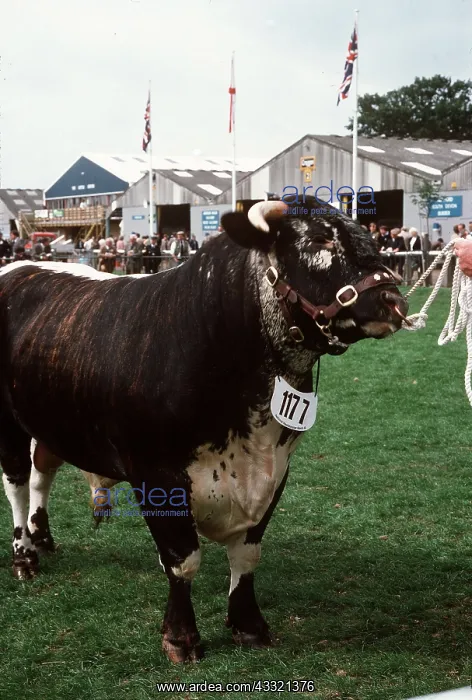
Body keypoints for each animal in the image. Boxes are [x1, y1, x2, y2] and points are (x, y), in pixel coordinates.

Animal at [0, 198, 407, 662]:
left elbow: (247, 555)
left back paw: (43, 537)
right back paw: (24, 556)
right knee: (16, 483)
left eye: (366, 233)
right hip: (8, 422)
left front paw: (249, 625)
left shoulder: (277, 470)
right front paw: (181, 637)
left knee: (41, 474)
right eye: (320, 239)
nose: (393, 299)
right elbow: (183, 560)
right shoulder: (155, 474)